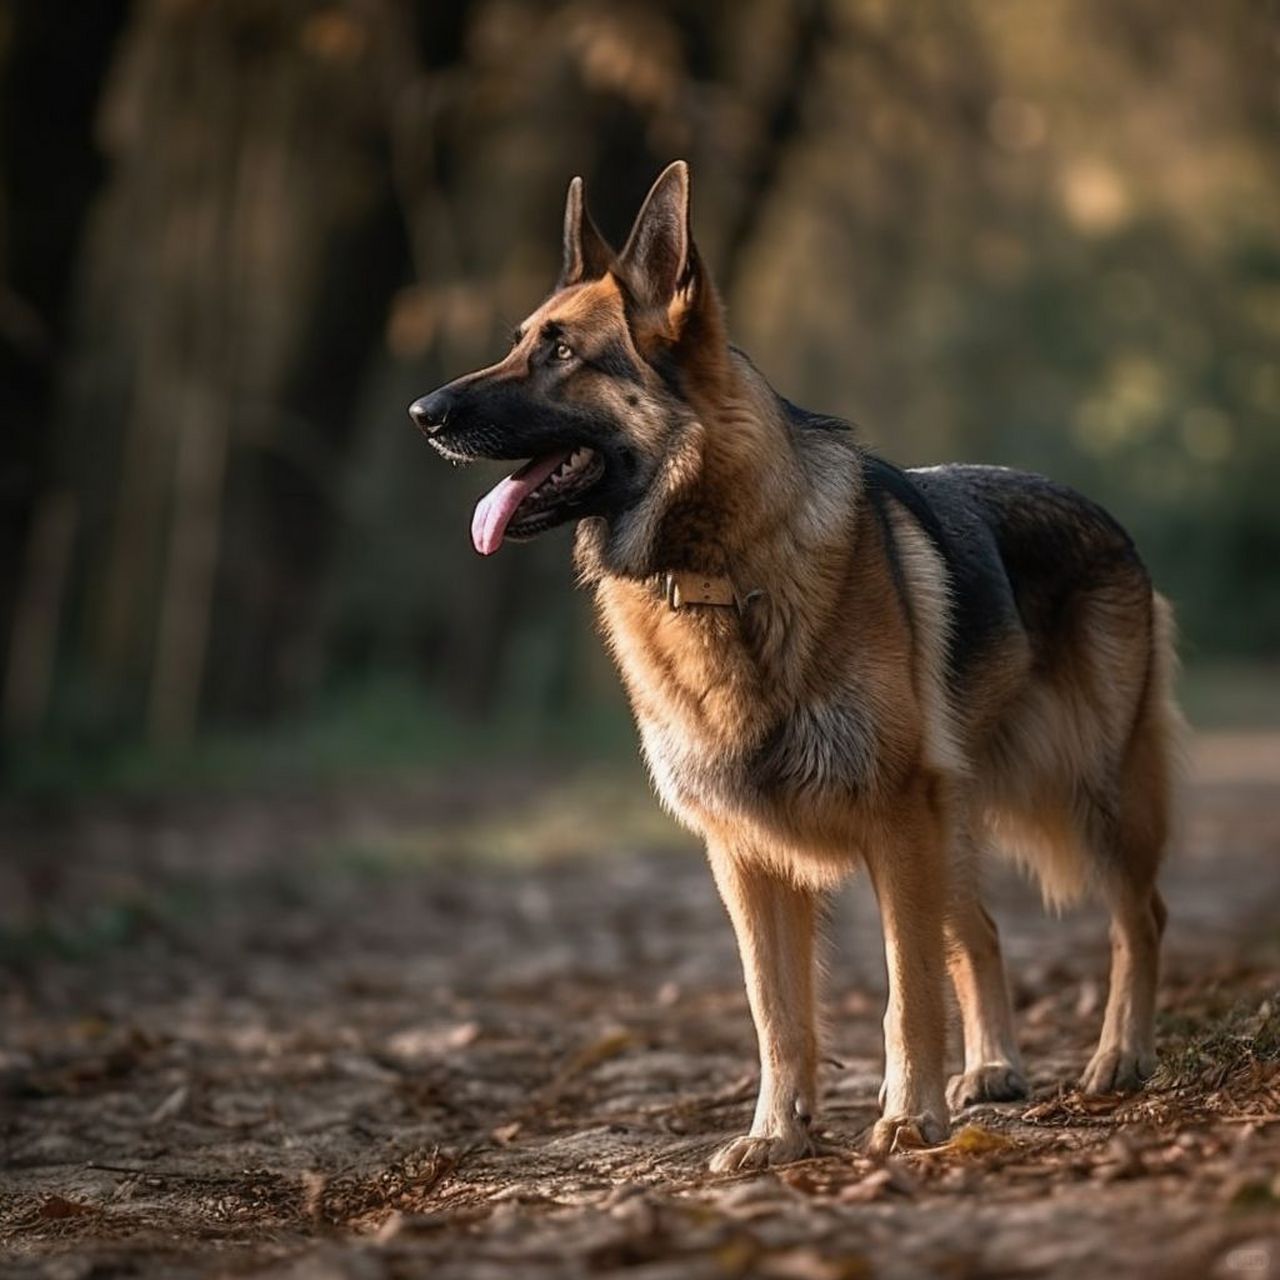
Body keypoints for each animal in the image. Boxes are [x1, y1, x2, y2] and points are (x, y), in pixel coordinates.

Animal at [409, 162, 1177, 1172]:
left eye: (562, 351)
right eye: (517, 346)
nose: (422, 414)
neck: (717, 571)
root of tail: (1104, 515)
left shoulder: (894, 825)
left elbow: (905, 993)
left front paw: (907, 1118)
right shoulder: (745, 853)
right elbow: (777, 1011)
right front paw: (777, 1133)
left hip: (1086, 793)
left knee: (1139, 916)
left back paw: (1119, 1054)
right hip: (961, 825)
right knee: (980, 931)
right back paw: (994, 1067)